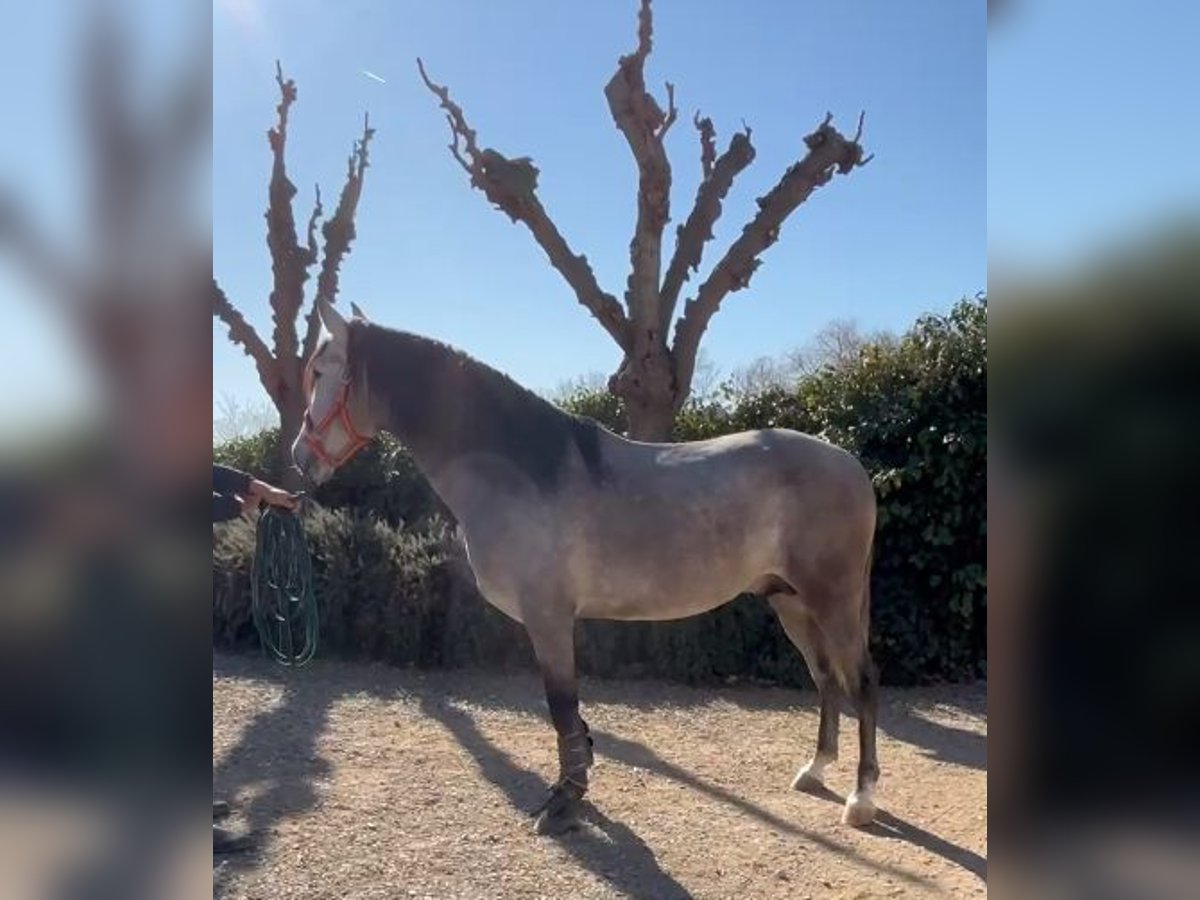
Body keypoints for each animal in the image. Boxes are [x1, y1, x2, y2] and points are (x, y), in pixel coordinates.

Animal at [292, 303, 883, 840]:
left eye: (320, 372)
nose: (300, 457)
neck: (525, 471)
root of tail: (852, 466)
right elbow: (570, 717)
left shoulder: (549, 619)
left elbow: (561, 708)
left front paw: (564, 802)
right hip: (790, 602)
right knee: (826, 679)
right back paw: (815, 771)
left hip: (831, 600)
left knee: (862, 684)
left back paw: (861, 799)